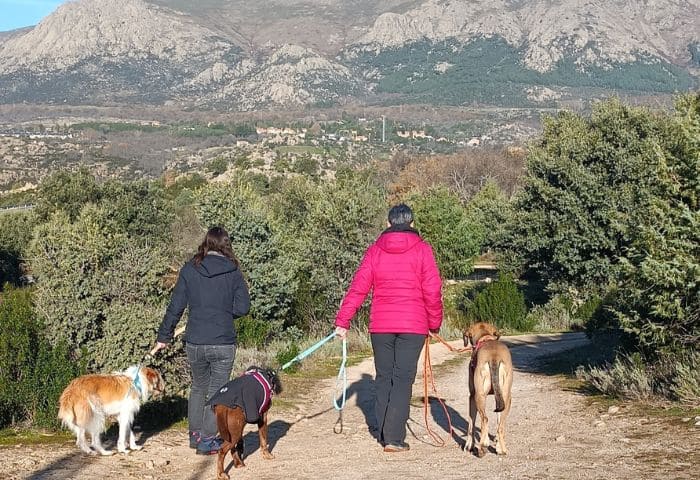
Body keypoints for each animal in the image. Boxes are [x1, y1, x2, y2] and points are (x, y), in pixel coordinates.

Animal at [464, 322, 516, 458]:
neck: (485, 337)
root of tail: (494, 356)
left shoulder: (472, 397)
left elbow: (471, 424)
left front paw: (469, 445)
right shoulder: (499, 398)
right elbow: (497, 420)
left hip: (479, 396)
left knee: (485, 419)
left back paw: (483, 446)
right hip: (507, 397)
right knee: (501, 425)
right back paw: (501, 449)